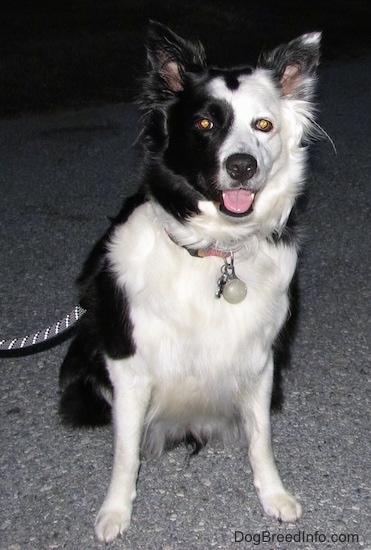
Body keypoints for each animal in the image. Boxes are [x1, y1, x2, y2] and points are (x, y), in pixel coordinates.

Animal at [59, 21, 322, 544]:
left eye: (263, 125)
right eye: (204, 124)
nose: (241, 165)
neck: (215, 251)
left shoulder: (260, 359)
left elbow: (261, 437)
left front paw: (273, 494)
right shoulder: (128, 362)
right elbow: (125, 450)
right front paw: (115, 511)